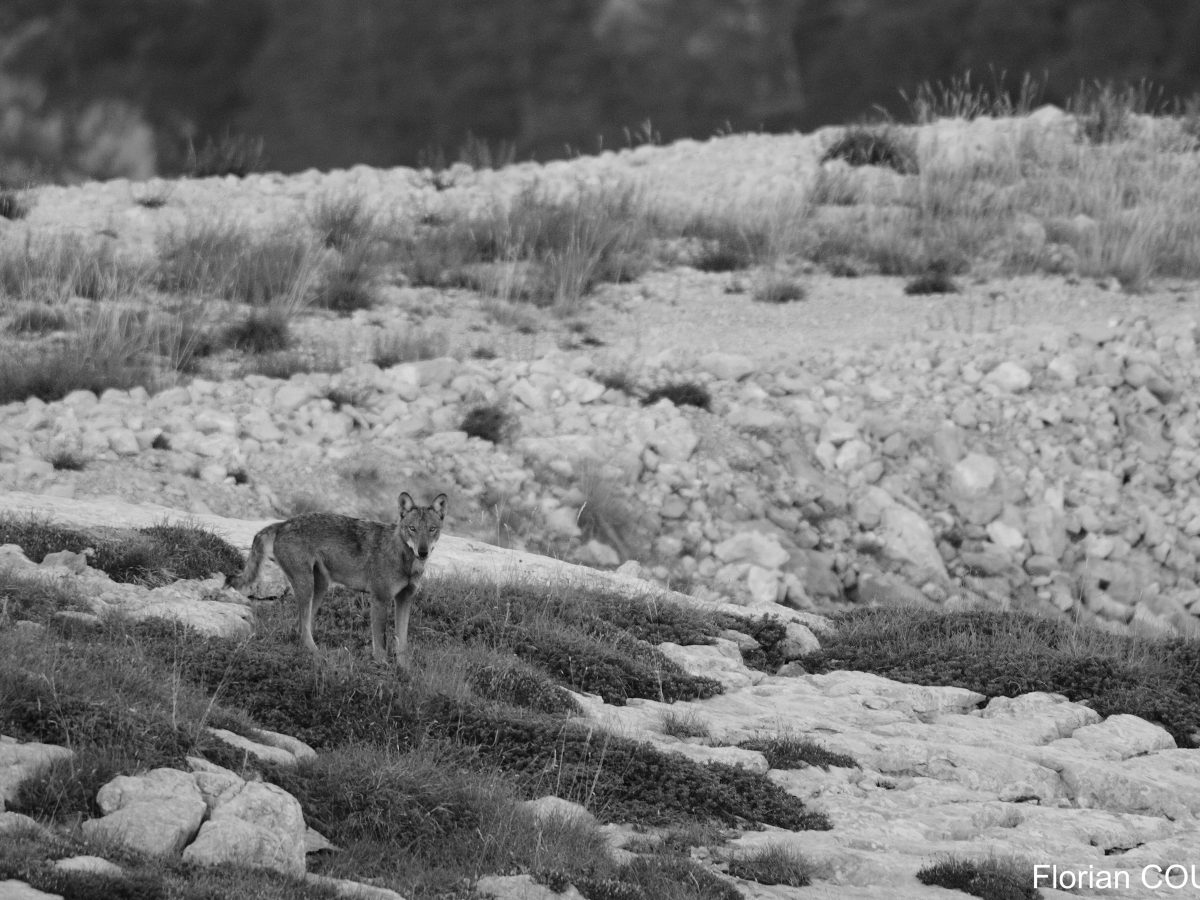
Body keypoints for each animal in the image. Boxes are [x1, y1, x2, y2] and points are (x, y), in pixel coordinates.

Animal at [231, 489, 448, 667]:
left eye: (432, 529)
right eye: (412, 528)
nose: (422, 552)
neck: (405, 560)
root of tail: (282, 523)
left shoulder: (404, 600)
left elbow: (402, 643)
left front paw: (404, 672)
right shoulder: (380, 599)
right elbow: (380, 641)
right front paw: (382, 668)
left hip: (320, 588)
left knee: (301, 626)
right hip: (307, 586)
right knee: (302, 628)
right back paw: (319, 656)